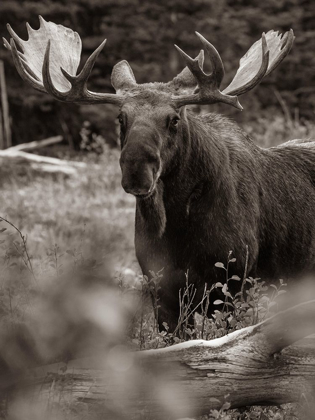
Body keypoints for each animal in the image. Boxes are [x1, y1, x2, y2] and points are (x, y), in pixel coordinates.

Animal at [4, 17, 315, 332]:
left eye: (174, 119)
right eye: (121, 117)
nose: (137, 170)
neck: (178, 228)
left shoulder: (233, 281)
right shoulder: (159, 287)